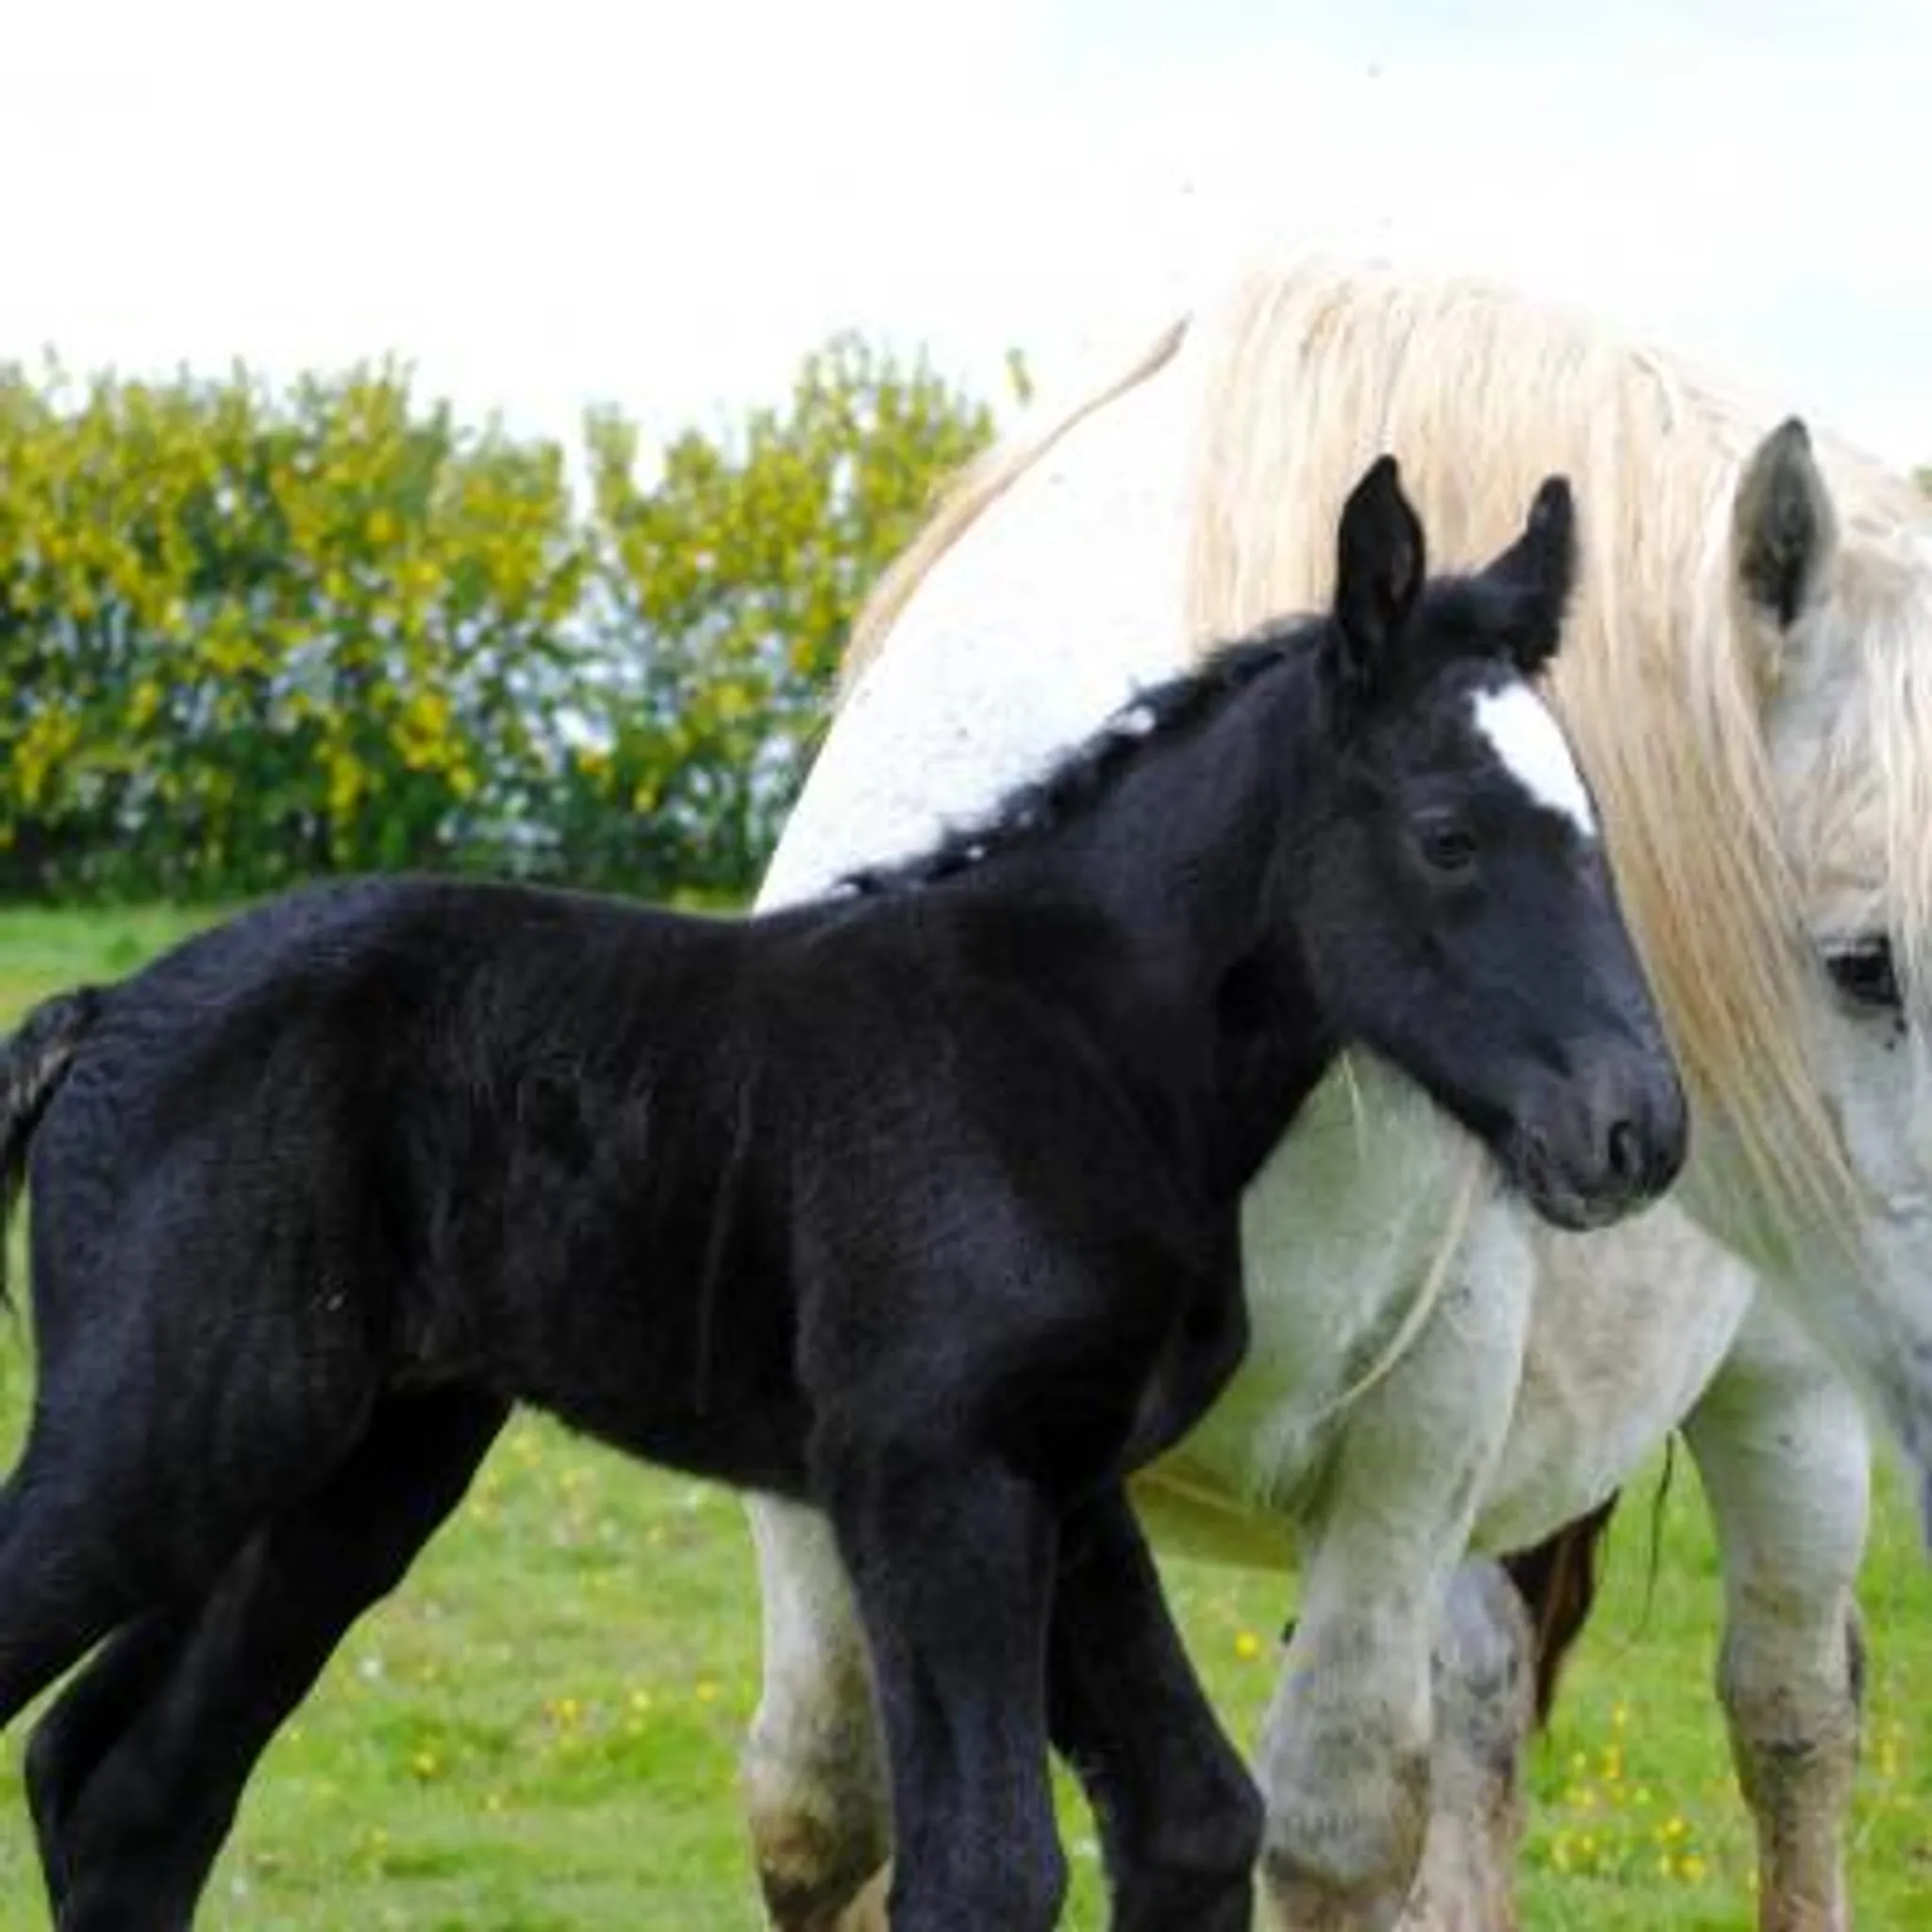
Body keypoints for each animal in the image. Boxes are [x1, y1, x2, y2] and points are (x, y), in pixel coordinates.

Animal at [0, 460, 1686, 1932]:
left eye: (1604, 833)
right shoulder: (930, 1474)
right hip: (173, 1431)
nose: (1637, 1130)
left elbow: (1193, 1820)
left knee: (128, 1783)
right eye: (1448, 838)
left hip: (359, 1464)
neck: (1077, 1047)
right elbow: (988, 1872)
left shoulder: (1065, 1480)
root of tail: (103, 1011)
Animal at [736, 253, 1932, 1932]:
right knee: (1491, 1708)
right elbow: (827, 1813)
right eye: (1864, 964)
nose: (1624, 1132)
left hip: (1787, 1404)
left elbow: (1326, 1831)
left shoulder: (1399, 1470)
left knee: (1790, 1714)